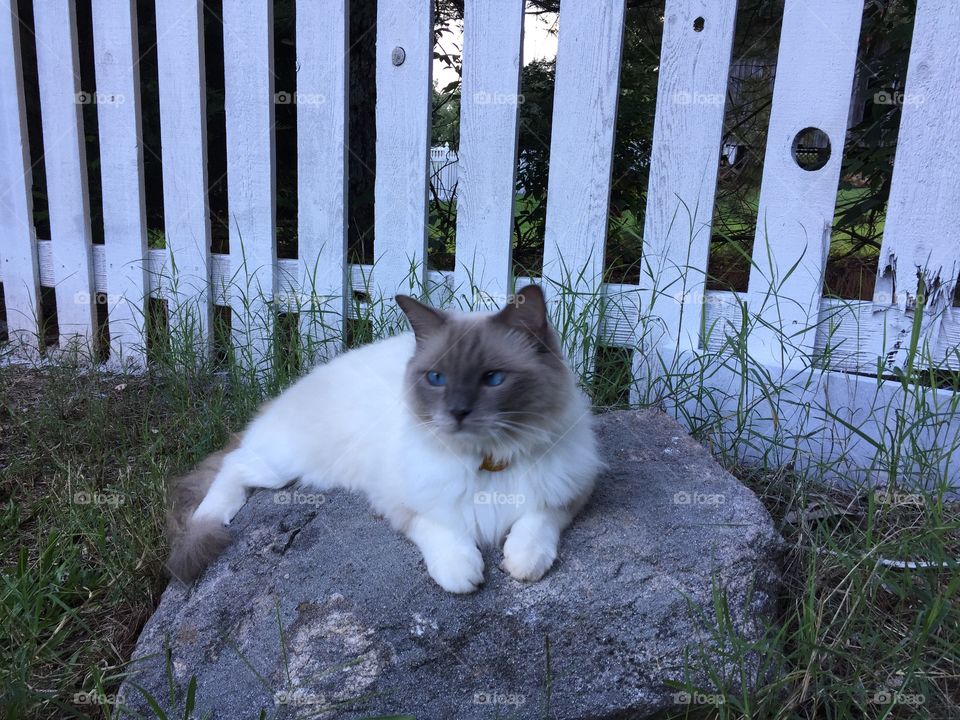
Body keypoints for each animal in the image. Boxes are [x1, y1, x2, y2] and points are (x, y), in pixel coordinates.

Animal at [166, 284, 600, 592]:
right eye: (436, 378)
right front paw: (462, 574)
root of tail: (282, 394)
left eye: (493, 379)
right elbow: (444, 533)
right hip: (280, 468)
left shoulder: (569, 492)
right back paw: (211, 518)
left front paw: (522, 564)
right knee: (233, 465)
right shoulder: (404, 502)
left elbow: (534, 527)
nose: (457, 412)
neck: (488, 459)